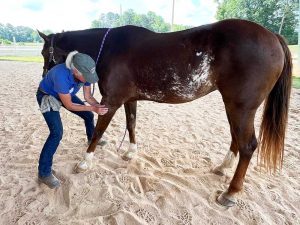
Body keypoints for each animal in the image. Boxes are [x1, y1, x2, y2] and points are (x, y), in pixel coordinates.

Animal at [37, 18, 290, 207]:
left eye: (43, 52)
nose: (44, 83)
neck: (110, 48)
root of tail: (271, 36)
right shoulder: (129, 100)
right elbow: (131, 123)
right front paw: (130, 152)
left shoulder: (111, 101)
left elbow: (98, 131)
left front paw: (85, 162)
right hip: (233, 106)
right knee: (236, 137)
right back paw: (222, 168)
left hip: (241, 107)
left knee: (247, 145)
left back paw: (230, 193)